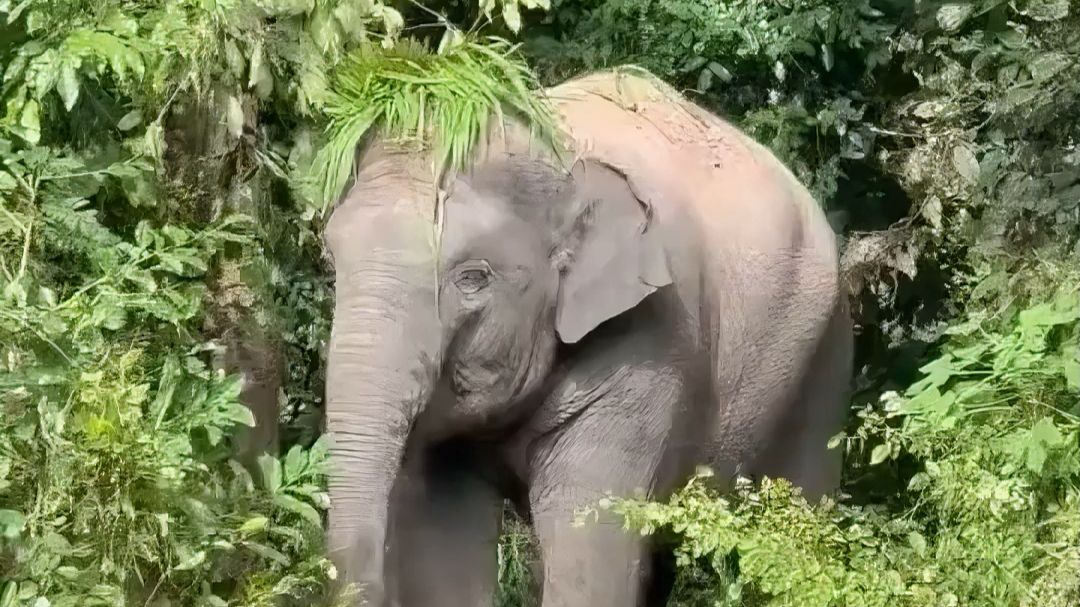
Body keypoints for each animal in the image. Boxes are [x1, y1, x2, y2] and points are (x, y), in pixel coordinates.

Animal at [322, 68, 854, 607]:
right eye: (331, 256)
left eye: (473, 278)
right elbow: (445, 545)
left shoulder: (651, 338)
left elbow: (587, 550)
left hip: (826, 352)